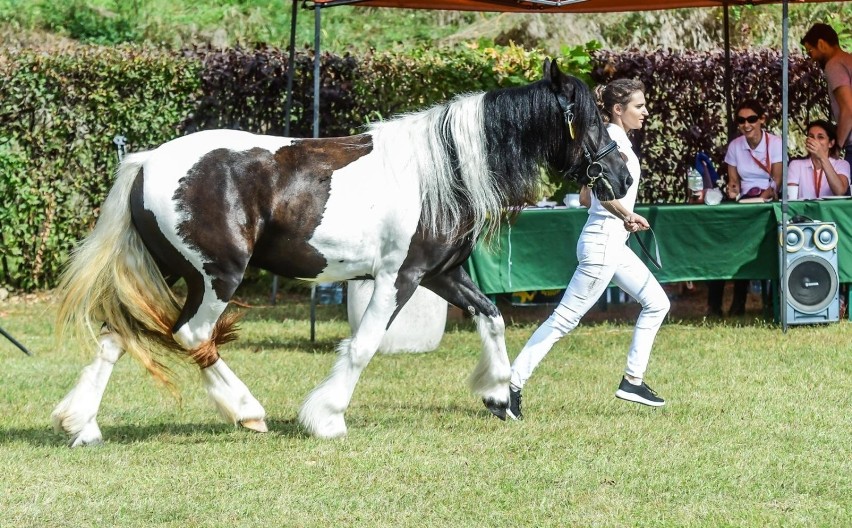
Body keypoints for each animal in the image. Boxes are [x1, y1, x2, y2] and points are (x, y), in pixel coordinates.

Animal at [50, 58, 628, 446]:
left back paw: (83, 425)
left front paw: (499, 396)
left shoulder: (442, 274)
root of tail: (147, 160)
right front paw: (327, 417)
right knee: (192, 335)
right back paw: (248, 411)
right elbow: (364, 346)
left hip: (170, 271)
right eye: (589, 119)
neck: (442, 171)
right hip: (217, 276)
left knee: (116, 333)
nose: (622, 177)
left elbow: (491, 317)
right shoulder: (400, 277)